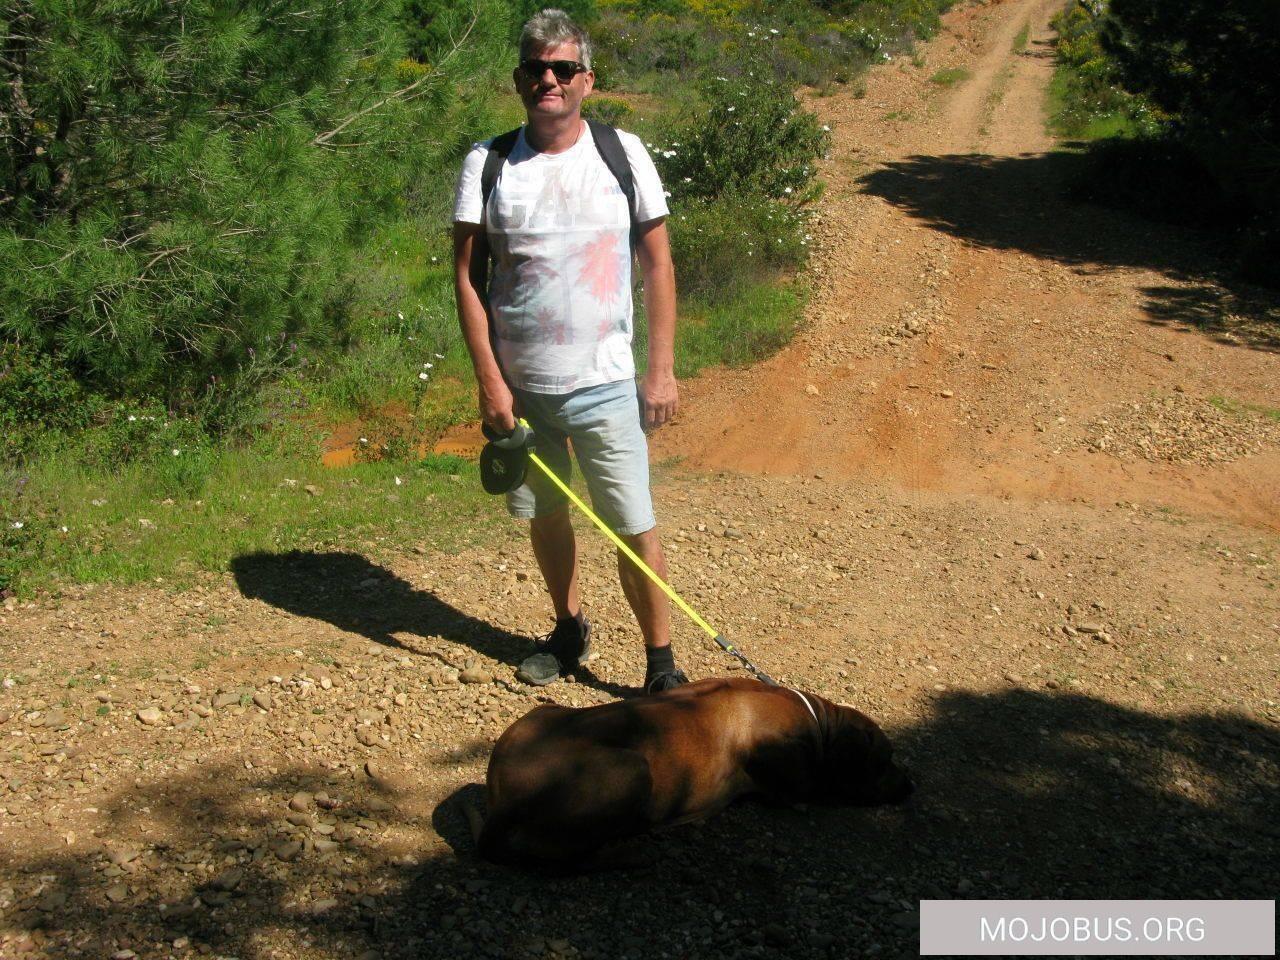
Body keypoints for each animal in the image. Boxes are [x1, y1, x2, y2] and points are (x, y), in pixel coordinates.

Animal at [468, 675, 911, 870]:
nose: (910, 784)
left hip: (541, 714)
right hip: (634, 767)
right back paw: (627, 851)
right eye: (884, 760)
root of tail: (503, 806)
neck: (816, 720)